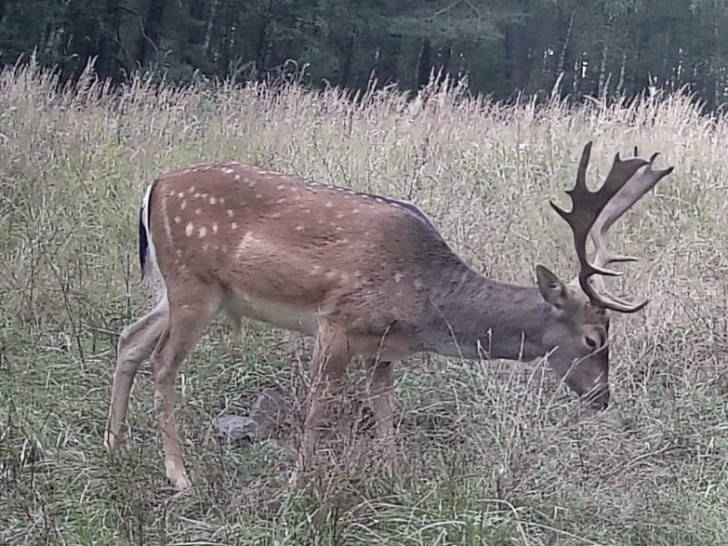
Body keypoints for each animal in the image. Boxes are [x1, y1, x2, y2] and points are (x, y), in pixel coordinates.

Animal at [104, 141, 674, 491]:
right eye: (594, 339)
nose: (603, 399)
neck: (421, 303)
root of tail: (154, 185)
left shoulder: (381, 349)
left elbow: (385, 412)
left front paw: (395, 474)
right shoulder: (335, 321)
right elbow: (318, 409)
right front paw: (298, 482)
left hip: (182, 290)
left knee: (129, 338)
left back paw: (114, 446)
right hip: (192, 282)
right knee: (163, 364)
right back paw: (179, 475)